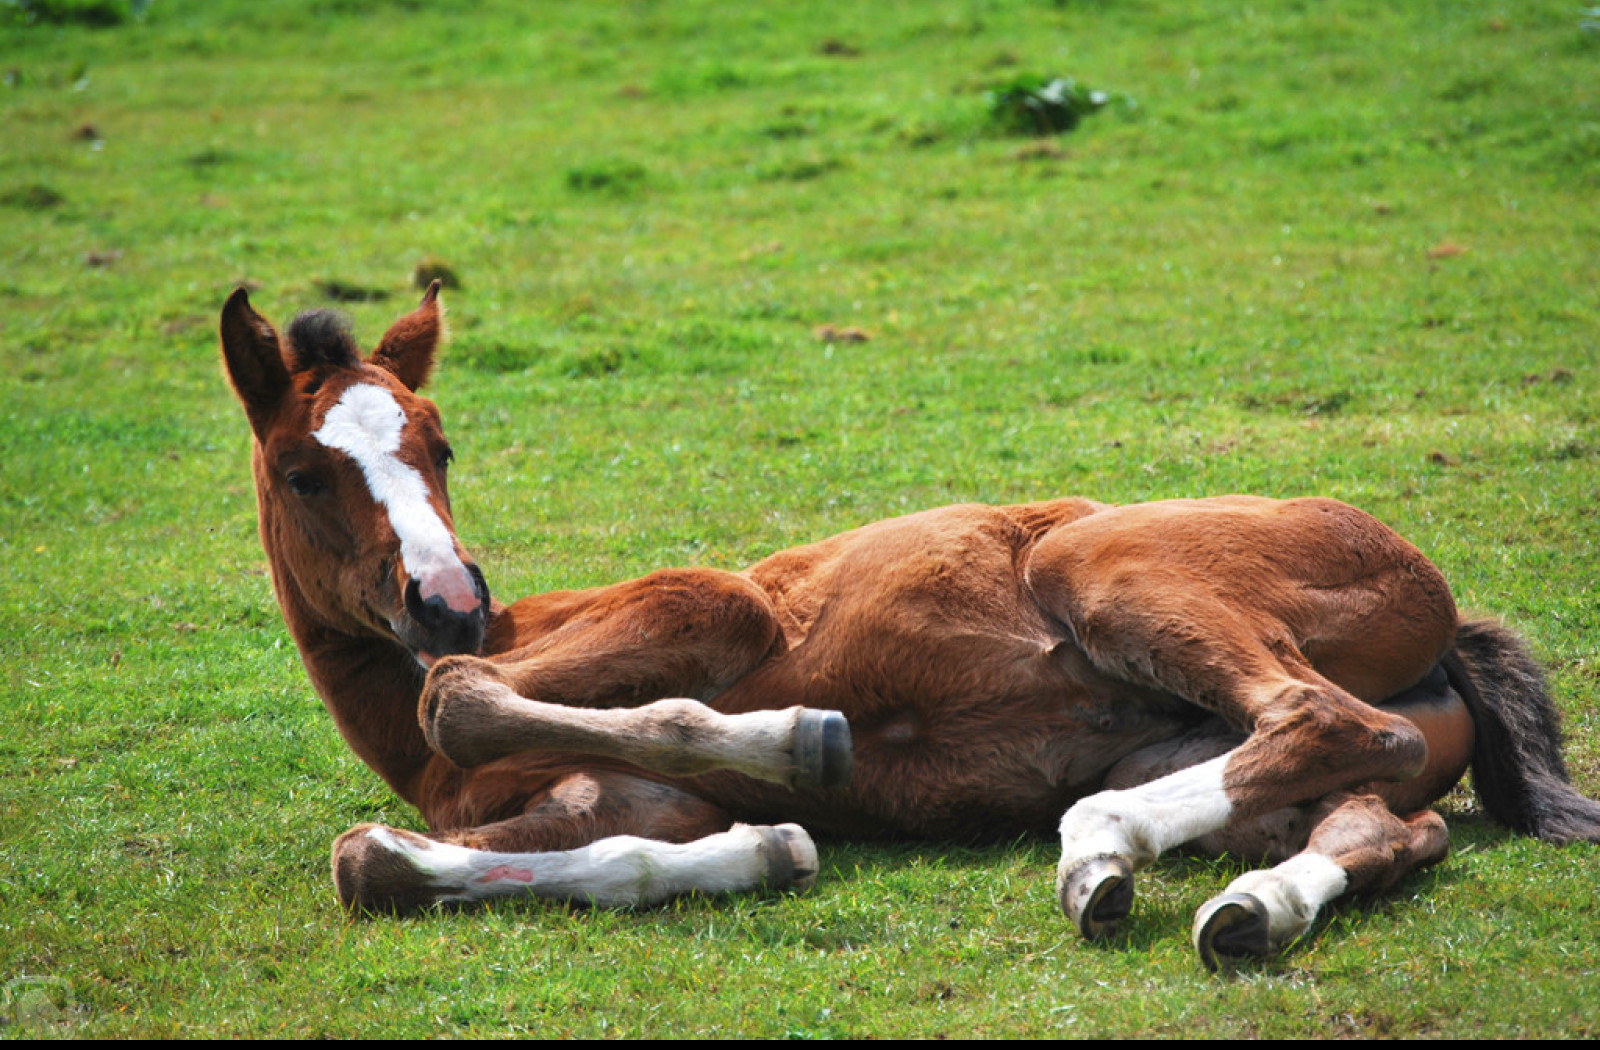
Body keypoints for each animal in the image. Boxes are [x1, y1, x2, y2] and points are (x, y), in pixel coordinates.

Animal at [219, 284, 1593, 966]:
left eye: (440, 443)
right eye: (301, 470)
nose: (449, 603)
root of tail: (1443, 605)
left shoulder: (702, 606)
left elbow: (466, 701)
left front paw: (803, 745)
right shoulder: (616, 806)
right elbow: (401, 860)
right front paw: (771, 844)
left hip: (1103, 564)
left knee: (1320, 715)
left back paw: (1100, 845)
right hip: (1243, 757)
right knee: (1384, 818)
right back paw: (1235, 907)